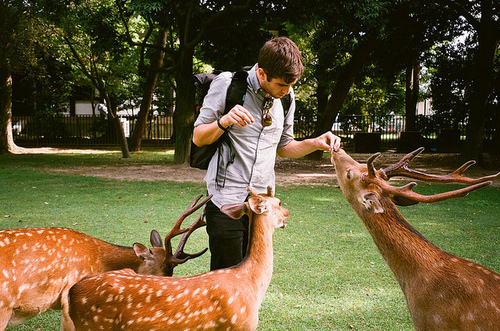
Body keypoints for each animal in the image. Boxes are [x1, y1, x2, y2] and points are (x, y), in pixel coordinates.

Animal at [68, 187, 292, 331]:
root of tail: (72, 291)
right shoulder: (241, 325)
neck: (251, 284)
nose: (288, 213)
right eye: (279, 202)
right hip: (94, 326)